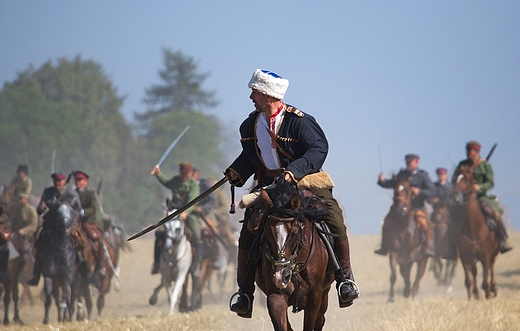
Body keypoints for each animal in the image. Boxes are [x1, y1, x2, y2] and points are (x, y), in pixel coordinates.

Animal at [255, 182, 336, 331]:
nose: (280, 276)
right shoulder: (275, 296)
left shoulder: (314, 296)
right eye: (267, 232)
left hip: (324, 296)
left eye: (295, 233)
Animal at [450, 167, 500, 300]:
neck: (473, 229)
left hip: (492, 254)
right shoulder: (466, 256)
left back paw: (493, 289)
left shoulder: (486, 256)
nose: (455, 194)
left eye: (467, 179)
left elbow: (484, 279)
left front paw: (488, 294)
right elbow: (469, 279)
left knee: (492, 267)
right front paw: (472, 297)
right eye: (455, 178)